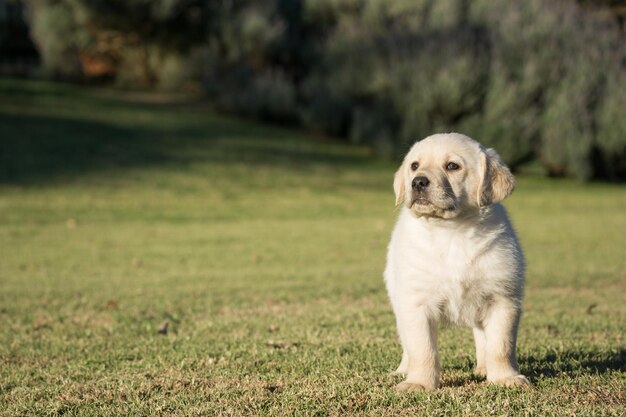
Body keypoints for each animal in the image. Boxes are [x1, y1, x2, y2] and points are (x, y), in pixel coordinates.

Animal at [386, 133, 528, 390]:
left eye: (452, 166)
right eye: (414, 166)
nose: (418, 182)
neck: (451, 230)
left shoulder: (503, 298)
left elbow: (501, 346)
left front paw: (505, 377)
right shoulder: (415, 303)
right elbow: (422, 349)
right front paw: (419, 383)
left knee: (482, 336)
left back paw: (483, 368)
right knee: (406, 342)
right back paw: (403, 371)